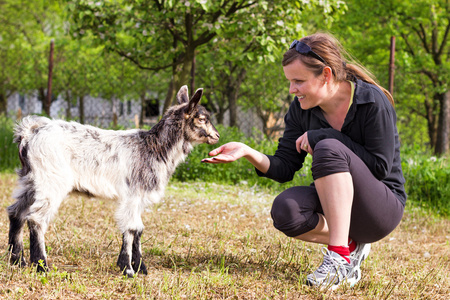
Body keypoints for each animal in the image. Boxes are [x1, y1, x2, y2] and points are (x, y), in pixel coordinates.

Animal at [5, 84, 220, 276]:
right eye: (202, 118)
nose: (216, 136)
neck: (153, 148)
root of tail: (29, 133)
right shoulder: (133, 194)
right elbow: (131, 228)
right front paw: (128, 269)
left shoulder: (138, 198)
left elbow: (137, 229)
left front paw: (139, 267)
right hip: (51, 181)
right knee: (36, 219)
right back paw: (41, 266)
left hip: (30, 181)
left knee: (16, 213)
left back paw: (17, 261)